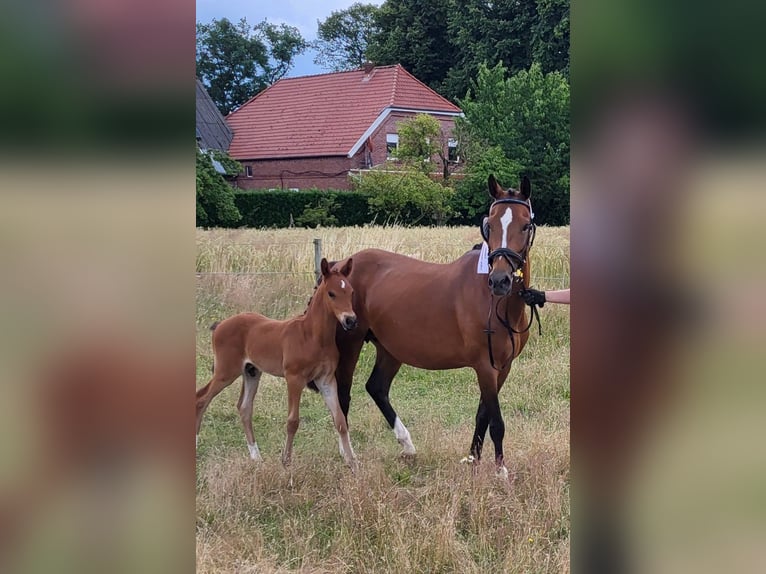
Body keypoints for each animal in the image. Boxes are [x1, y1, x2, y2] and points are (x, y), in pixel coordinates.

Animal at [195, 258, 356, 470]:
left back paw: (256, 457)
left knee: (244, 407)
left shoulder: (326, 380)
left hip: (251, 372)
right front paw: (286, 462)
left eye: (351, 292)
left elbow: (340, 420)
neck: (313, 336)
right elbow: (293, 421)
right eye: (331, 293)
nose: (351, 320)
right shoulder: (294, 378)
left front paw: (353, 464)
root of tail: (220, 324)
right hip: (225, 372)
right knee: (201, 399)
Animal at [332, 174, 536, 476]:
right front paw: (501, 472)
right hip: (350, 343)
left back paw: (406, 445)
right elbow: (496, 422)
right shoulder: (485, 366)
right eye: (490, 223)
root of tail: (340, 267)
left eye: (524, 225)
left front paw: (473, 459)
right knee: (343, 396)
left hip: (390, 349)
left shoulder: (503, 367)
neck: (495, 303)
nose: (500, 280)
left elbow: (483, 414)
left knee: (376, 388)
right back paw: (348, 456)